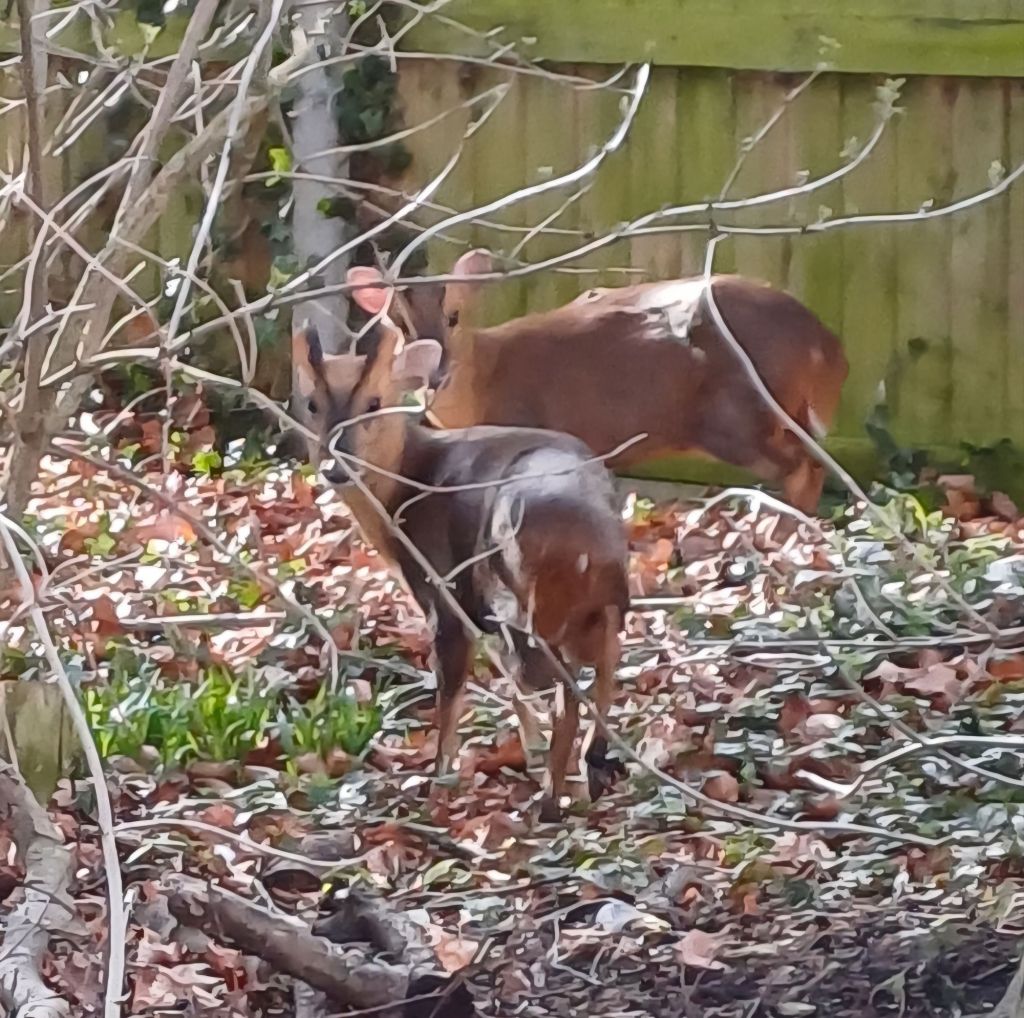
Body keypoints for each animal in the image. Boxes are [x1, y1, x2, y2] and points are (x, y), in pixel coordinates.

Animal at [293, 313, 630, 821]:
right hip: (598, 606)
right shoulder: (475, 611)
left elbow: (451, 694)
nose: (336, 466)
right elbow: (502, 682)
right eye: (311, 402)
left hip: (521, 603)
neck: (402, 495)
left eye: (374, 402)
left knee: (561, 690)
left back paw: (549, 799)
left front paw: (437, 780)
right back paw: (588, 770)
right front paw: (528, 751)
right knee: (602, 669)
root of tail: (594, 547)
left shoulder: (442, 590)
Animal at [347, 250, 849, 515]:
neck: (487, 380)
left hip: (741, 416)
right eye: (400, 322)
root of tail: (826, 344)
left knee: (805, 467)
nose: (435, 370)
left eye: (454, 315)